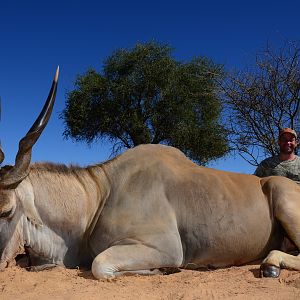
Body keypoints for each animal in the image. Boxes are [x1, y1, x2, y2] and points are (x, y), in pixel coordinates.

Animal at [0, 68, 300, 278]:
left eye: (6, 211)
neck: (98, 197)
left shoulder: (163, 248)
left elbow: (99, 266)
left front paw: (166, 269)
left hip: (282, 197)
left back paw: (270, 265)